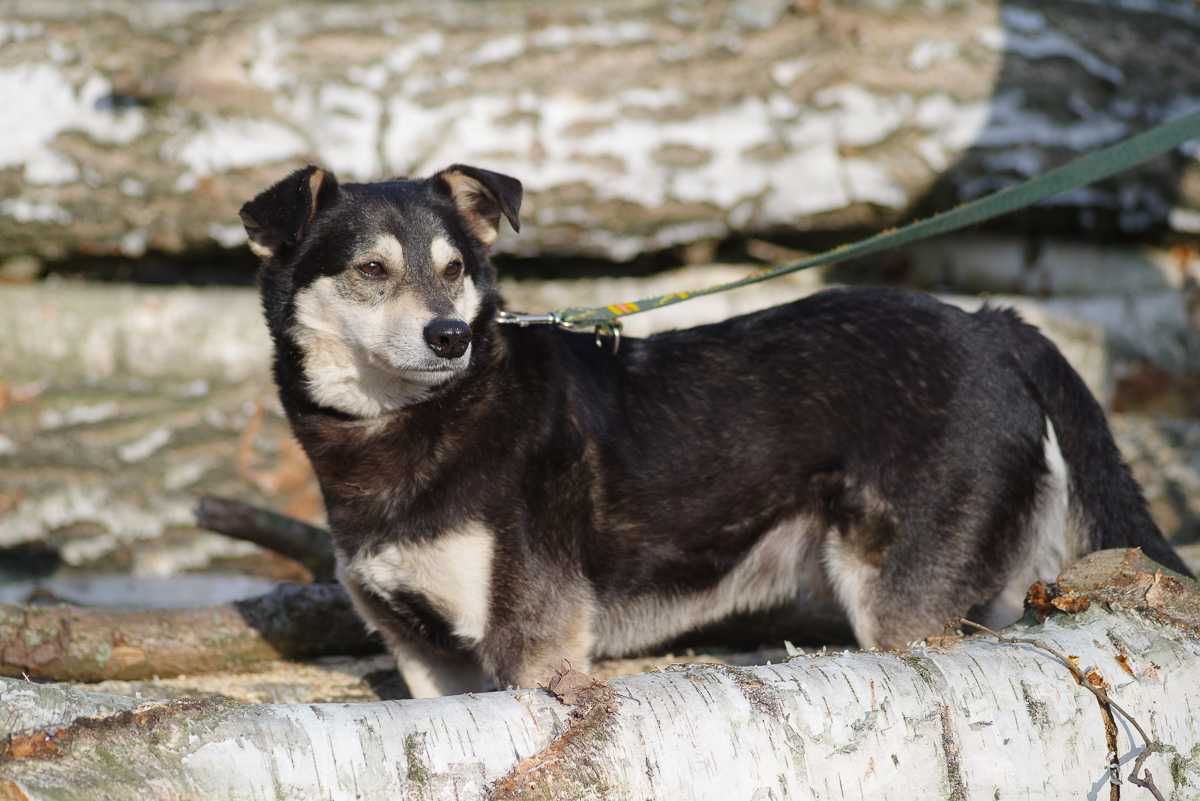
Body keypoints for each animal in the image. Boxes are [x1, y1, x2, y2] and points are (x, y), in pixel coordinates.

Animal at [241, 165, 1190, 695]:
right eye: (371, 270)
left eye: (453, 270)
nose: (451, 337)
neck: (404, 431)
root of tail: (993, 326)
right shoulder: (425, 657)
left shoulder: (530, 646)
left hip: (904, 605)